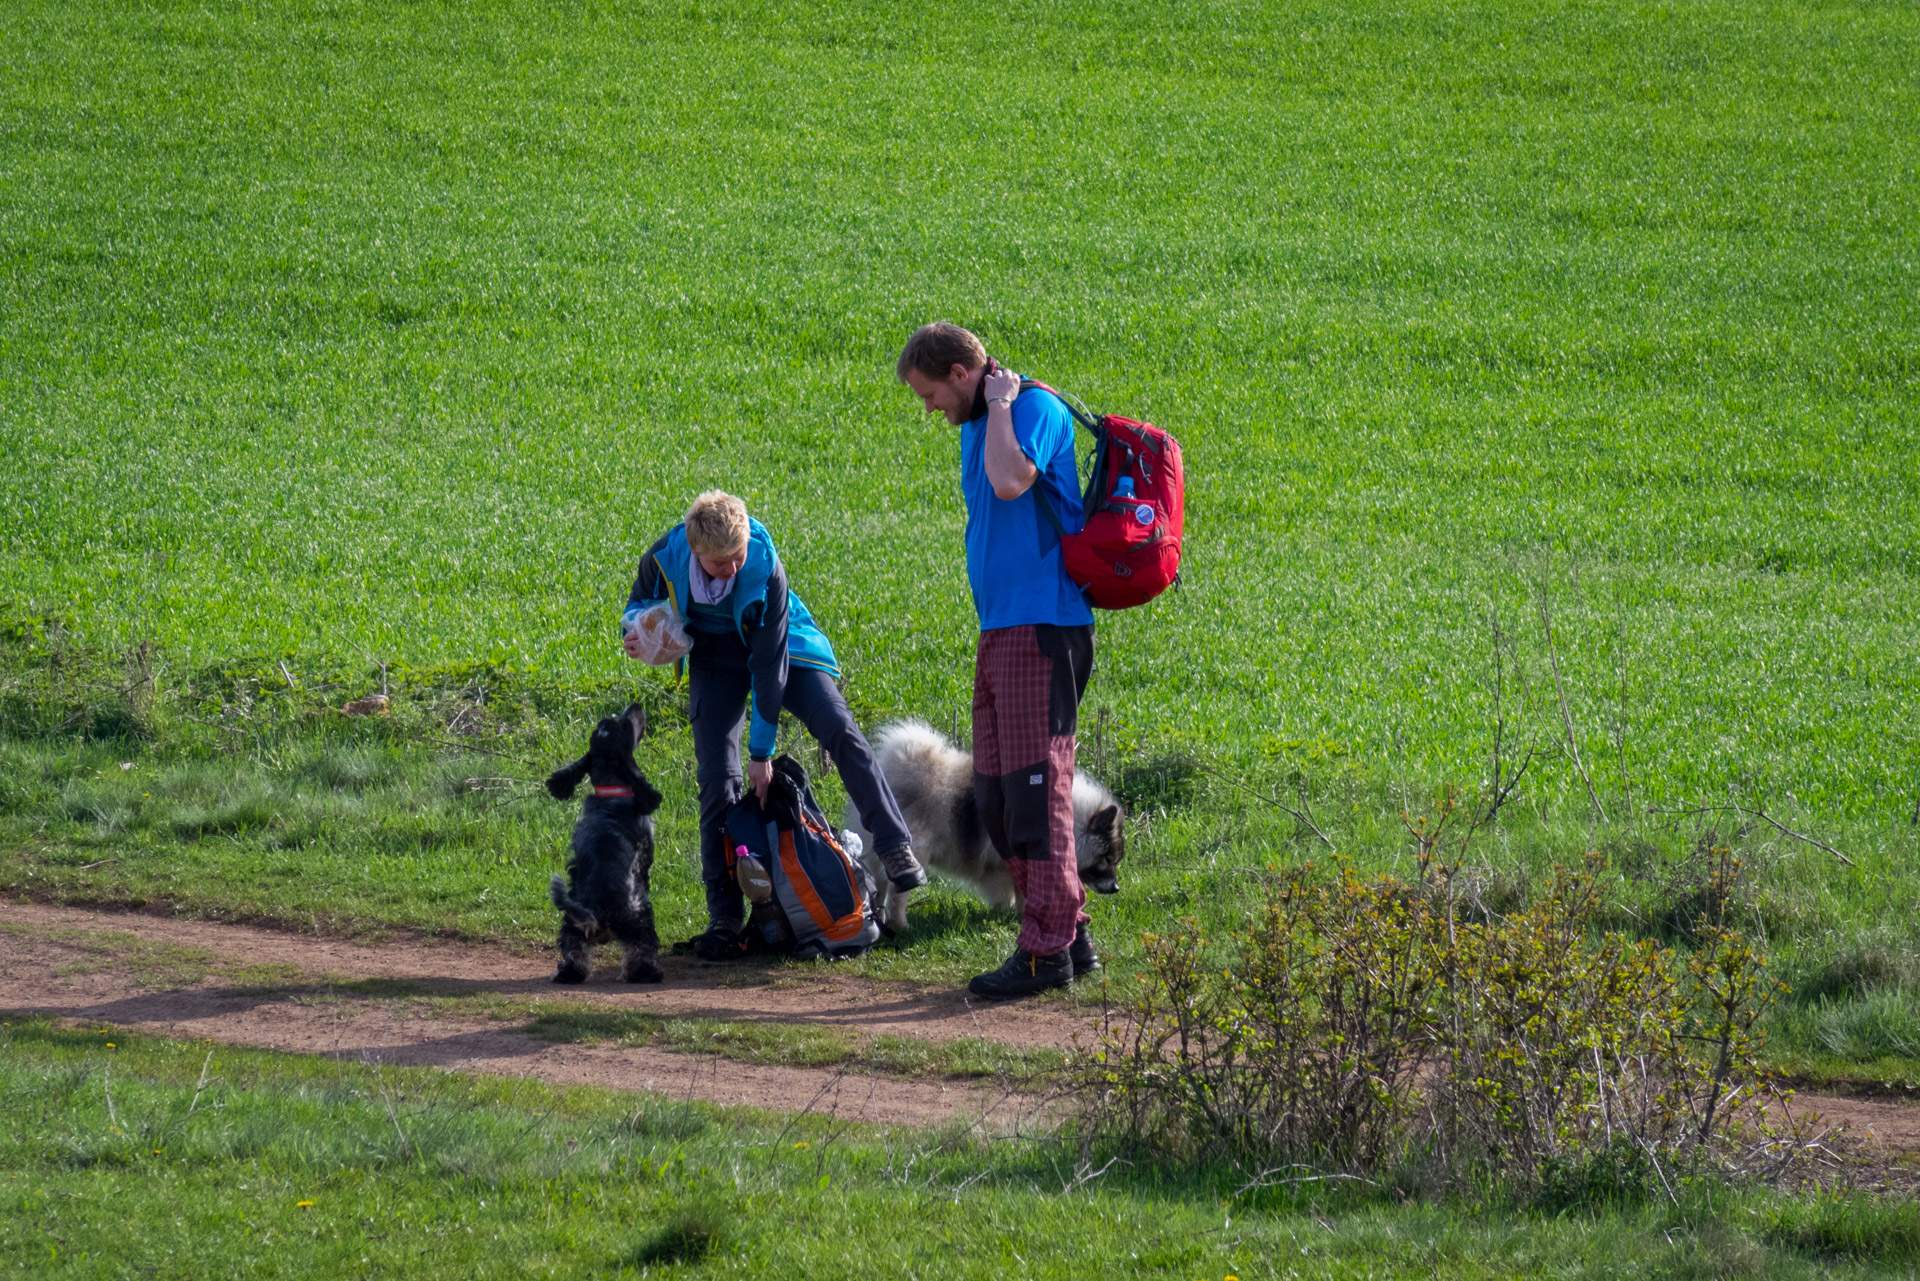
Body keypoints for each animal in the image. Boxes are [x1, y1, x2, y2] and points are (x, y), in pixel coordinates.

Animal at [549, 706, 668, 990]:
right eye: (625, 724)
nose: (635, 706)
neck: (610, 794)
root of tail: (598, 912)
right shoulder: (646, 853)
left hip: (571, 925)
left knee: (574, 954)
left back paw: (567, 974)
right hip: (640, 919)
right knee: (640, 952)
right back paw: (649, 974)